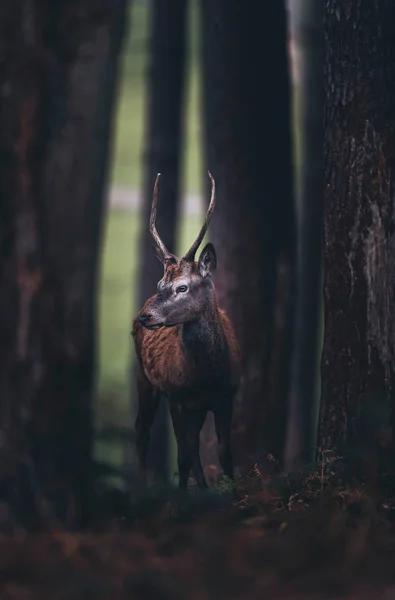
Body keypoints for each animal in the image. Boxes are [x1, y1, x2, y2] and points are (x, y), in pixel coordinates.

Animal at [132, 173, 241, 492]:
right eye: (160, 284)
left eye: (182, 287)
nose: (145, 317)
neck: (207, 376)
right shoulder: (177, 396)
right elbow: (182, 455)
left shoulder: (227, 395)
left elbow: (224, 451)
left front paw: (231, 489)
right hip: (145, 378)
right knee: (143, 430)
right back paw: (142, 487)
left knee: (191, 447)